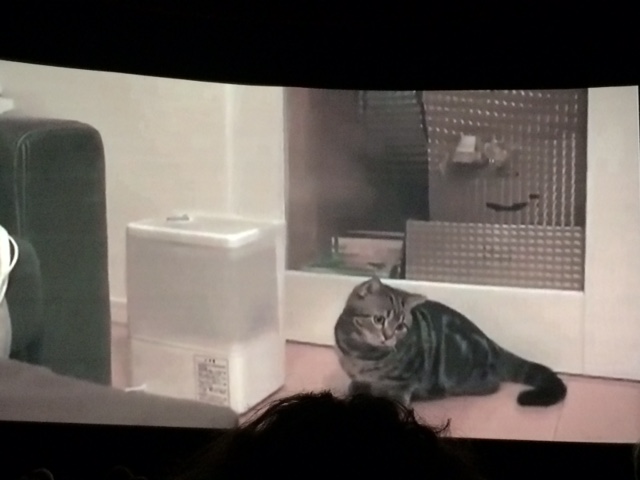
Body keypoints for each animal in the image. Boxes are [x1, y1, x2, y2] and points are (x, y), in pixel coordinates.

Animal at [334, 276, 567, 407]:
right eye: (378, 319)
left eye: (400, 326)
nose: (388, 336)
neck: (362, 354)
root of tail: (491, 342)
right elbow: (357, 384)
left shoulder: (402, 384)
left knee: (493, 385)